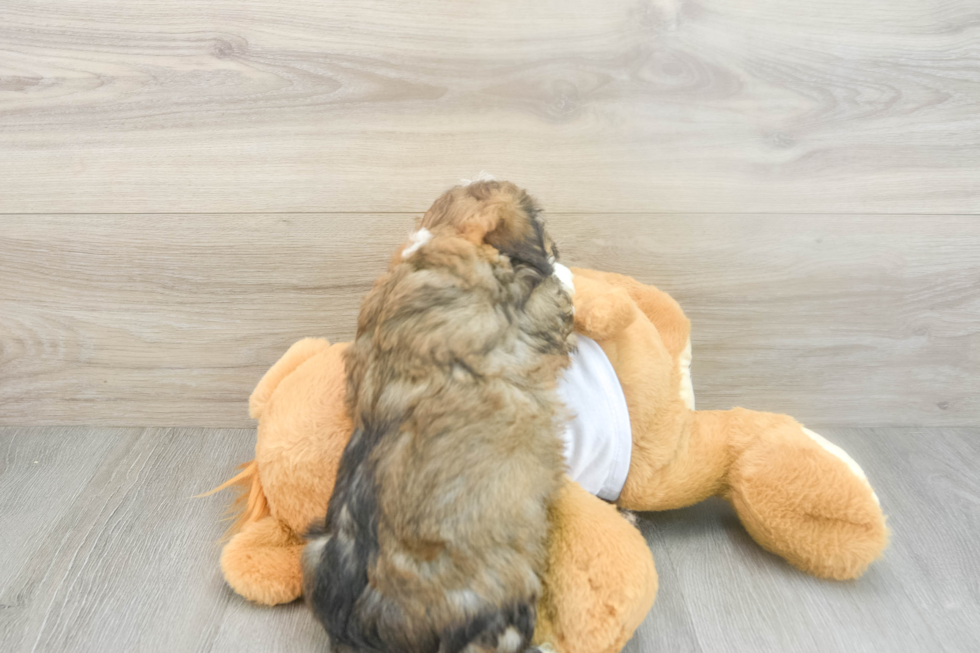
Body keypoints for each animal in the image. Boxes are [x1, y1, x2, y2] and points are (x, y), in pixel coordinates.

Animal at [304, 180, 576, 652]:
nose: (559, 248)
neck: (443, 237)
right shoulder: (524, 314)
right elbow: (552, 299)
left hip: (317, 547)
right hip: (502, 591)